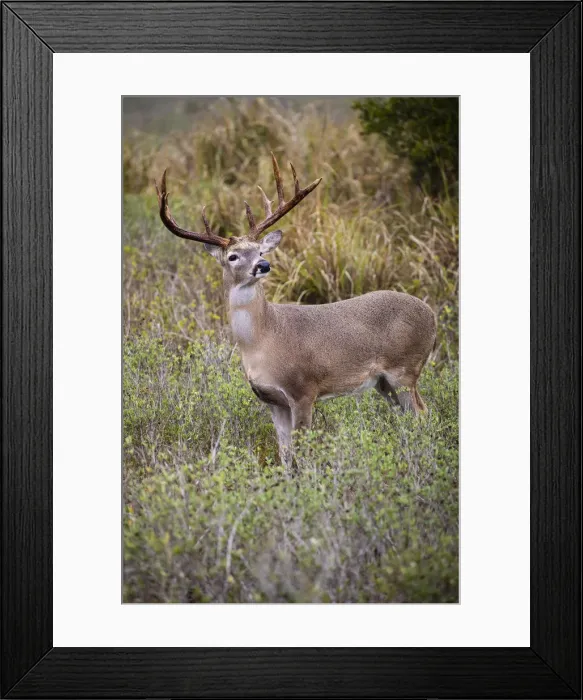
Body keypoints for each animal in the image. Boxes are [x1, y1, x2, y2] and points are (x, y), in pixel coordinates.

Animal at [156, 153, 437, 466]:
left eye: (260, 251)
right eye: (233, 256)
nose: (263, 265)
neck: (264, 339)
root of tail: (432, 315)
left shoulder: (304, 389)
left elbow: (303, 451)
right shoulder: (272, 400)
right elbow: (285, 454)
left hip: (405, 370)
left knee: (423, 414)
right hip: (384, 383)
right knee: (409, 417)